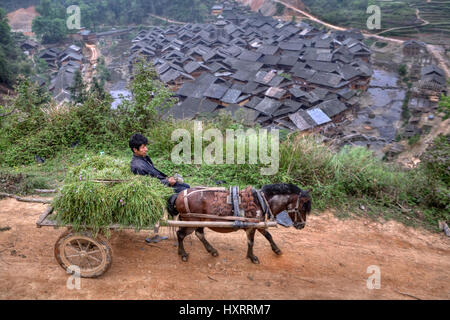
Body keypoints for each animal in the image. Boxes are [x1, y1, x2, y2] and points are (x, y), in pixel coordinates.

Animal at [167, 184, 312, 264]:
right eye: (303, 206)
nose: (302, 225)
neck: (261, 201)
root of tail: (178, 195)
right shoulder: (251, 227)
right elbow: (251, 242)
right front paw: (252, 257)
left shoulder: (258, 224)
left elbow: (268, 236)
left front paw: (276, 250)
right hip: (191, 221)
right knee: (181, 234)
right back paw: (183, 254)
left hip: (198, 221)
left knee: (199, 234)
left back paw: (212, 251)